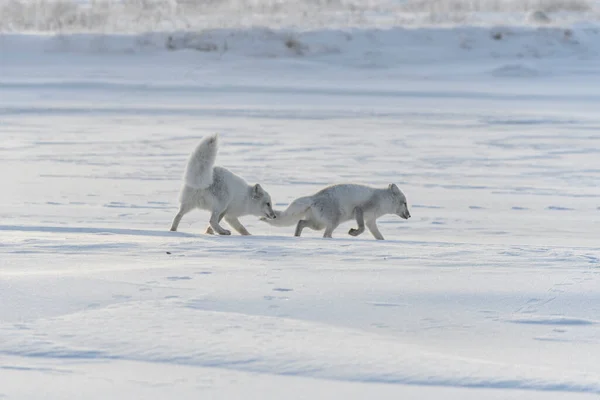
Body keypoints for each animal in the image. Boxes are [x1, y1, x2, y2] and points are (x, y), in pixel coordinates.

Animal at [260, 183, 410, 239]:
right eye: (405, 203)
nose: (409, 215)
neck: (382, 200)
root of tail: (313, 198)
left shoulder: (371, 221)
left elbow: (378, 235)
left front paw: (382, 242)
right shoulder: (359, 210)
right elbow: (361, 228)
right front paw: (353, 233)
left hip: (317, 224)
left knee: (301, 222)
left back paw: (297, 236)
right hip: (332, 222)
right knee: (325, 234)